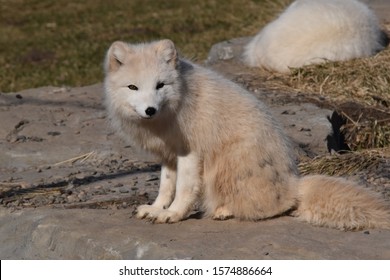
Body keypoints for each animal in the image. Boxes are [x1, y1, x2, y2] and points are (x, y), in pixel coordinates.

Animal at [104, 38, 390, 230]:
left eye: (160, 85)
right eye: (133, 87)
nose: (149, 110)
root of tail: (293, 184)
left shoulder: (190, 152)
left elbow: (184, 188)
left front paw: (173, 214)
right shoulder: (168, 155)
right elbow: (165, 186)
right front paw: (155, 209)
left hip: (226, 165)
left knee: (275, 207)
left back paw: (224, 210)